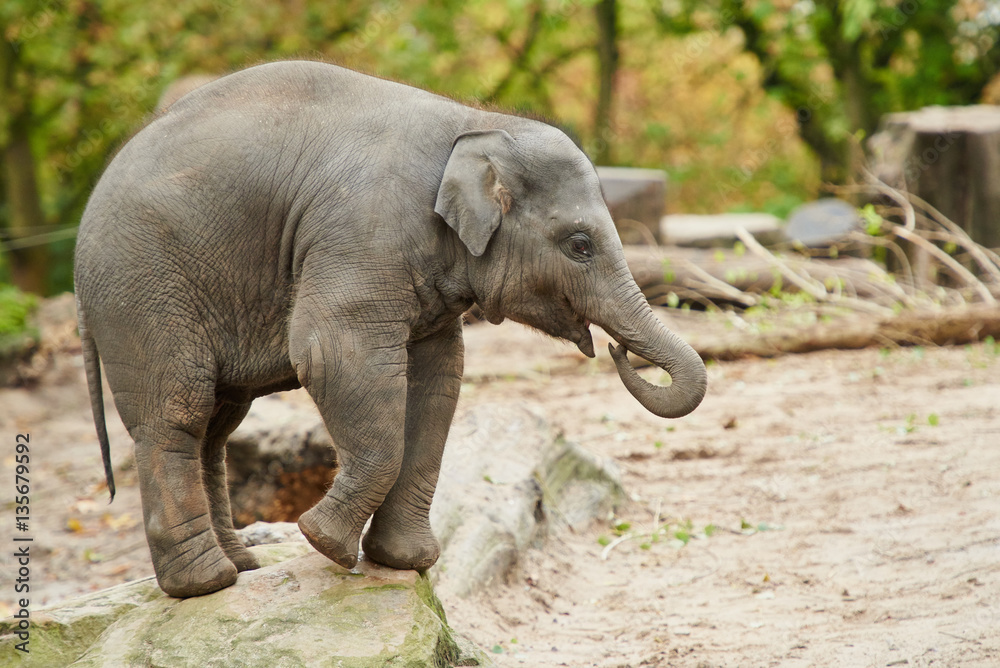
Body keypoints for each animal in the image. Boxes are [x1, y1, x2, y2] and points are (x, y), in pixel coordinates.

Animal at [74, 60, 707, 598]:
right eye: (579, 245)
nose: (617, 350)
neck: (474, 126)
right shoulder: (363, 234)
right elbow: (330, 352)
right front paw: (324, 544)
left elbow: (438, 380)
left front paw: (403, 562)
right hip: (144, 289)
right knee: (176, 414)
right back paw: (206, 585)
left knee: (216, 425)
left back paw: (242, 567)